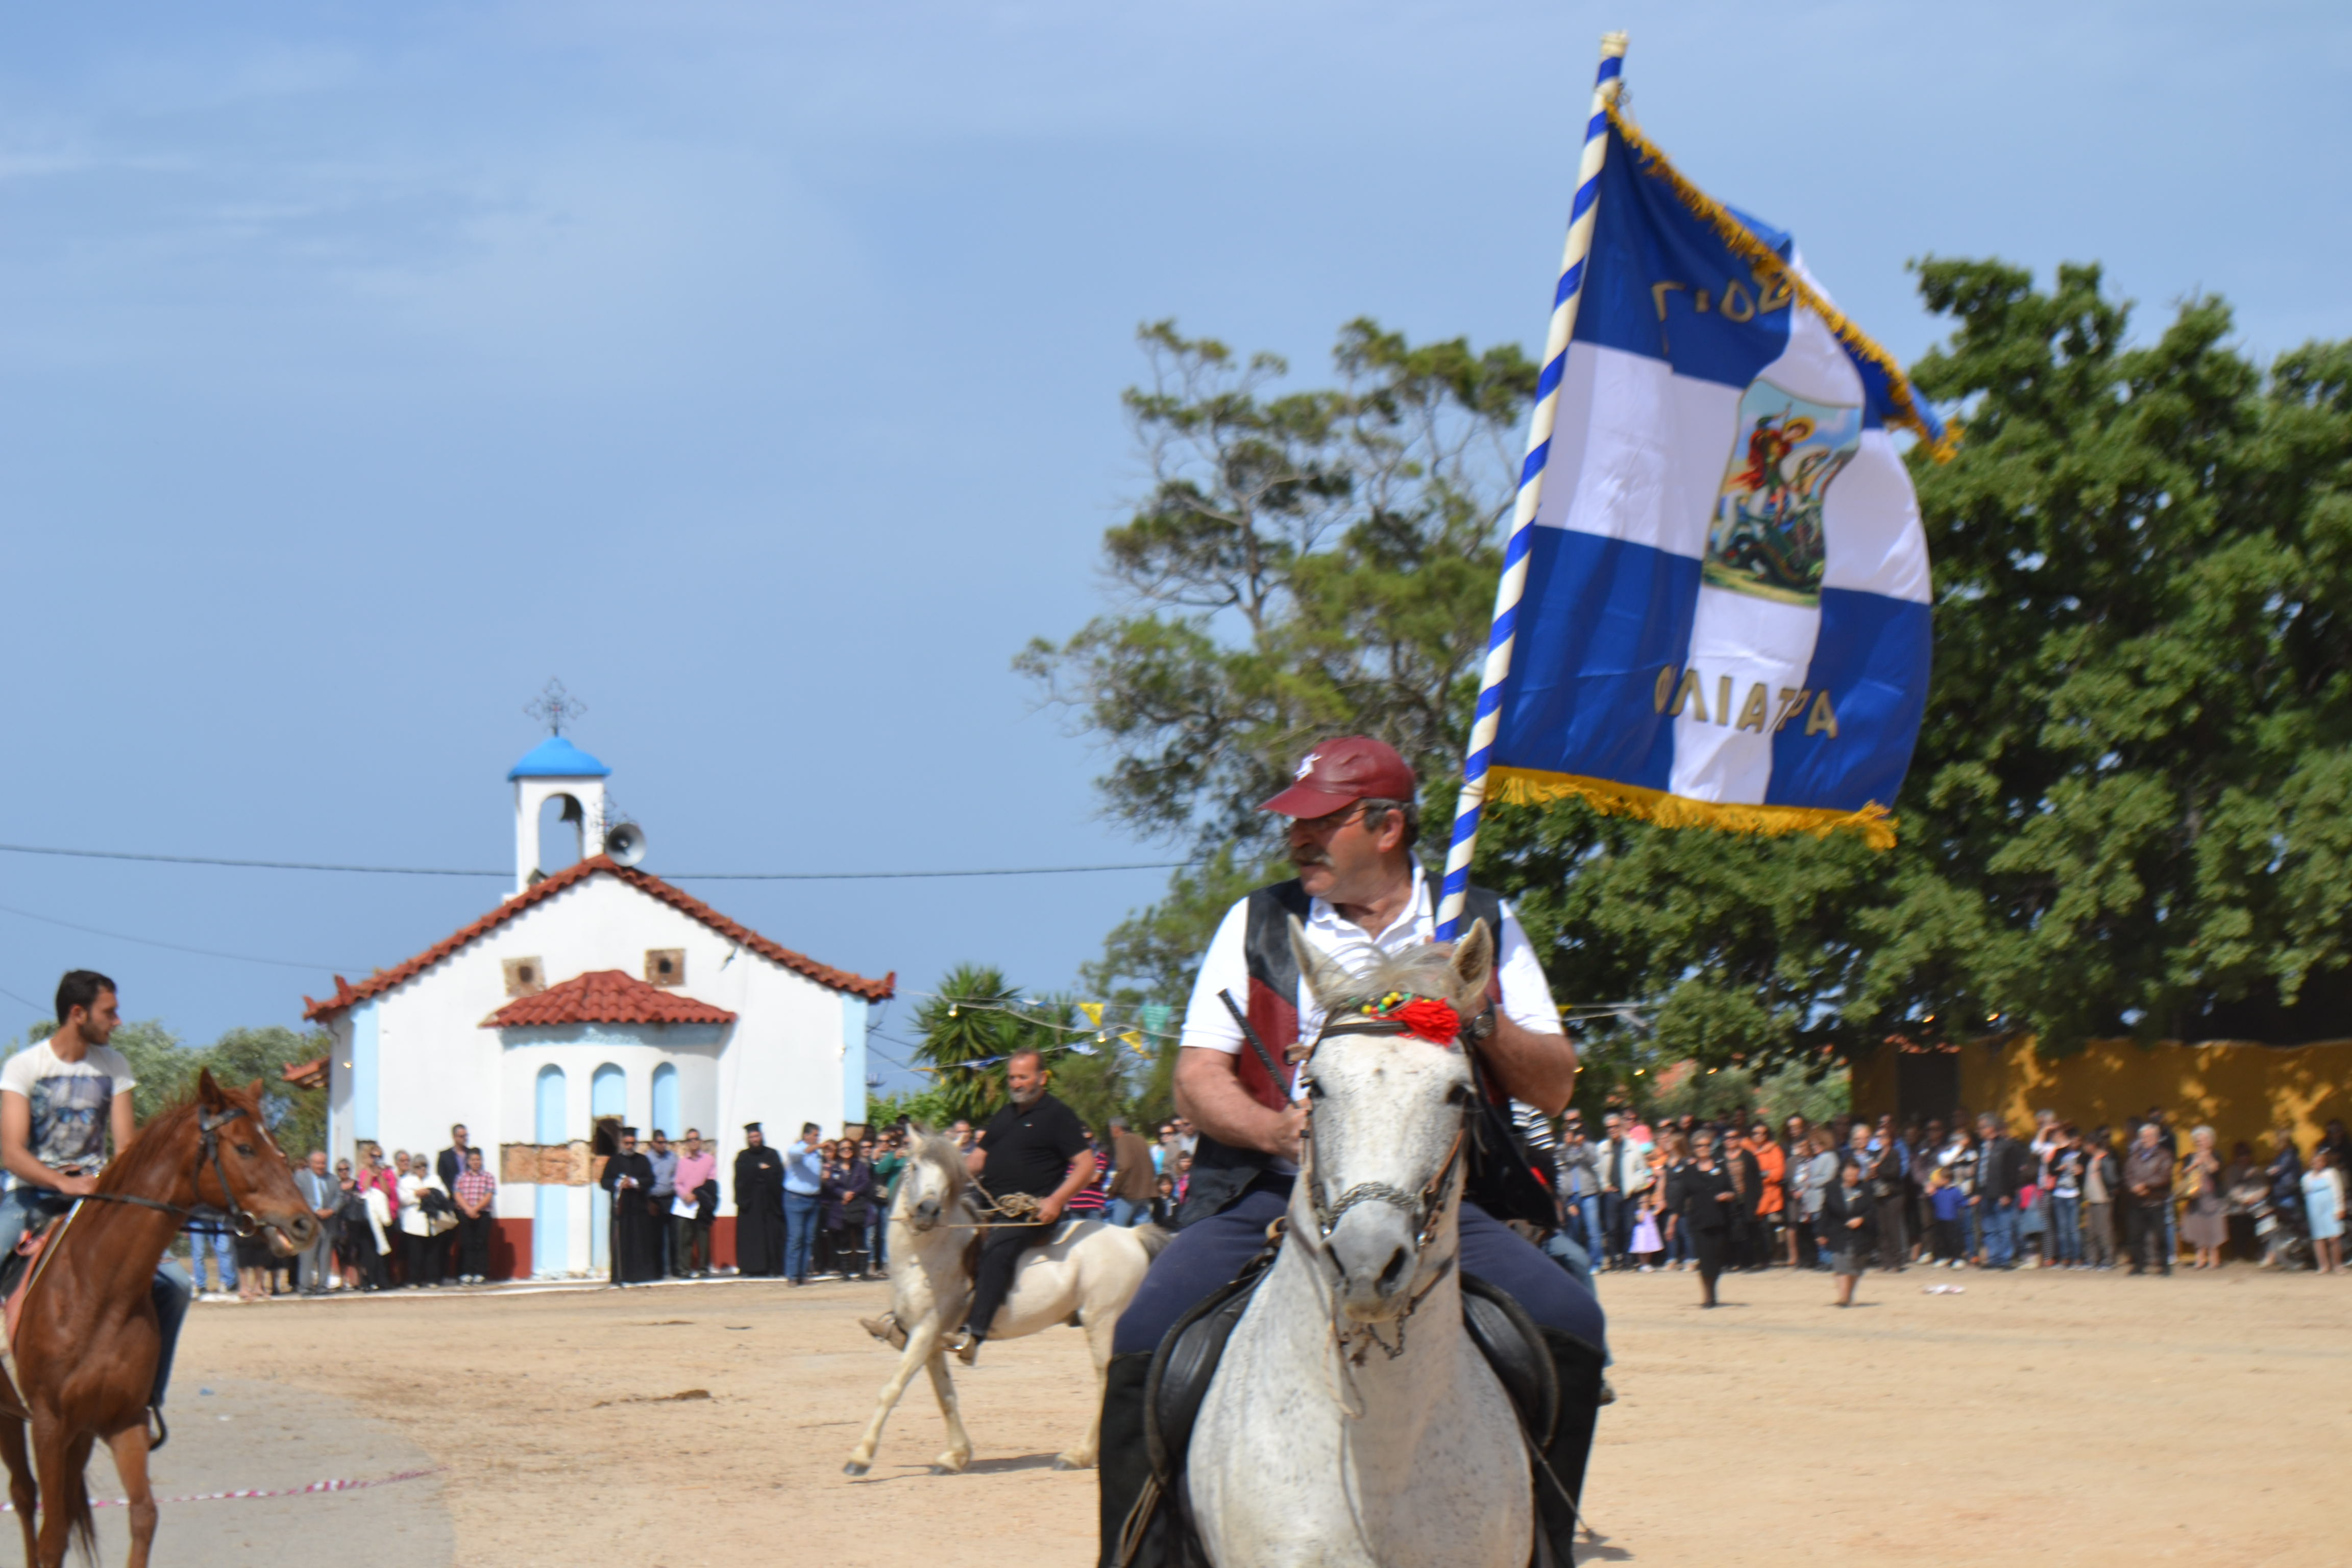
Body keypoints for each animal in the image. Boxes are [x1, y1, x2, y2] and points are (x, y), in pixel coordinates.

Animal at [0, 1071, 318, 1568]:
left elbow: (143, 1516)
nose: (305, 1225)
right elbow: (51, 1538)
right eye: (246, 1148)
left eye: (281, 1152)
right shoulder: (50, 1424)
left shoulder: (123, 1421)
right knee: (24, 1493)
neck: (95, 1290)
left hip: (79, 1433)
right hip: (14, 1417)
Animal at [845, 1130, 1169, 1476]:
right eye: (915, 1167)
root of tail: (1132, 1235)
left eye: (948, 1178)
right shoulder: (930, 1340)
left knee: (1106, 1382)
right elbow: (946, 1394)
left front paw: (860, 1458)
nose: (927, 1211)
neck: (927, 1255)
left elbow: (892, 1389)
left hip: (1102, 1321)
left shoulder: (924, 1332)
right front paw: (955, 1456)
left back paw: (1079, 1455)